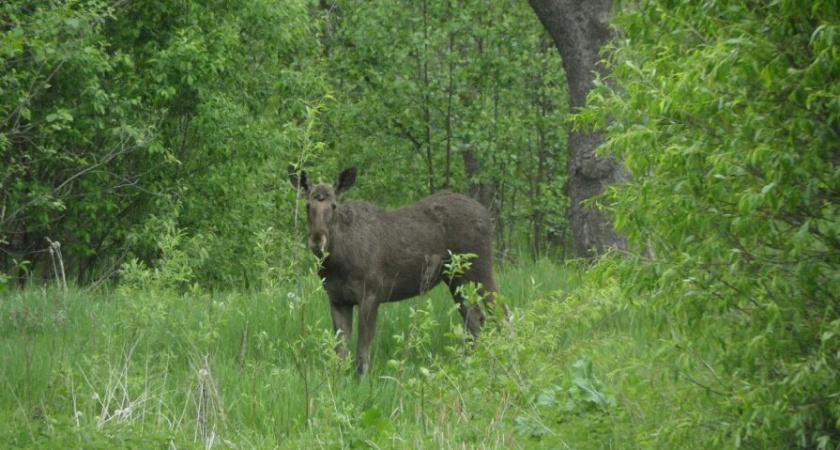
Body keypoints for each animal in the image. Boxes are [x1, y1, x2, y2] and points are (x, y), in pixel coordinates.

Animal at [288, 167, 506, 374]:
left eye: (333, 206)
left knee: (501, 313)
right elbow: (340, 354)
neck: (336, 262)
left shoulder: (370, 295)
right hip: (456, 279)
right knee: (476, 319)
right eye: (308, 205)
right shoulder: (337, 299)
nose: (317, 241)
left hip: (480, 271)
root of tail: (488, 217)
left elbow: (361, 355)